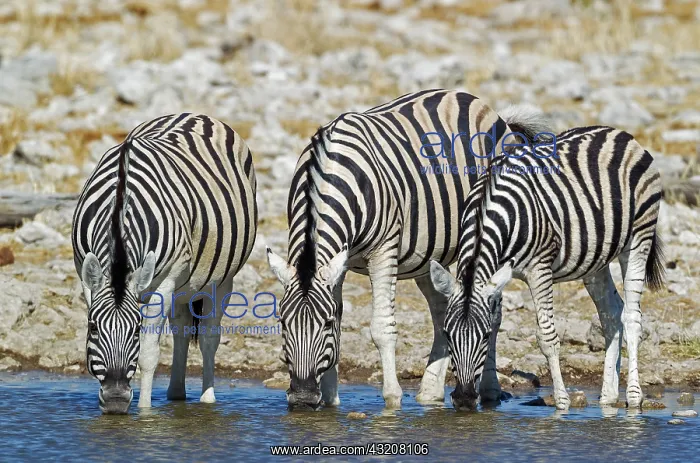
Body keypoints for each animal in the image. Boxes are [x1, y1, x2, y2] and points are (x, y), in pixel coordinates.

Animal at [72, 113, 257, 414]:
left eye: (135, 329)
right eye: (93, 328)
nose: (115, 401)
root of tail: (195, 115)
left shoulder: (166, 280)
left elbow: (149, 352)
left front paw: (145, 412)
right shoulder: (85, 275)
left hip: (219, 280)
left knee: (209, 336)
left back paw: (207, 399)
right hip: (184, 286)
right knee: (181, 330)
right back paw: (176, 394)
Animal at [265, 89, 552, 409]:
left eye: (324, 325)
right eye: (282, 323)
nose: (303, 398)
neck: (330, 171)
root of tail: (481, 104)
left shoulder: (383, 250)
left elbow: (381, 328)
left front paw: (392, 400)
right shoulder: (336, 260)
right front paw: (330, 402)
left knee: (493, 311)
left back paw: (489, 390)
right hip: (430, 255)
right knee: (442, 310)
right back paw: (430, 392)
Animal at [429, 125, 665, 410]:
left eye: (483, 337)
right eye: (446, 334)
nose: (463, 399)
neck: (488, 209)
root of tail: (620, 134)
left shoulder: (539, 268)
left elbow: (547, 336)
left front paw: (562, 402)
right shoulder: (498, 272)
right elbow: (496, 319)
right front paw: (489, 394)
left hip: (639, 237)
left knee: (631, 317)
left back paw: (633, 395)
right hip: (595, 259)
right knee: (611, 314)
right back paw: (608, 397)